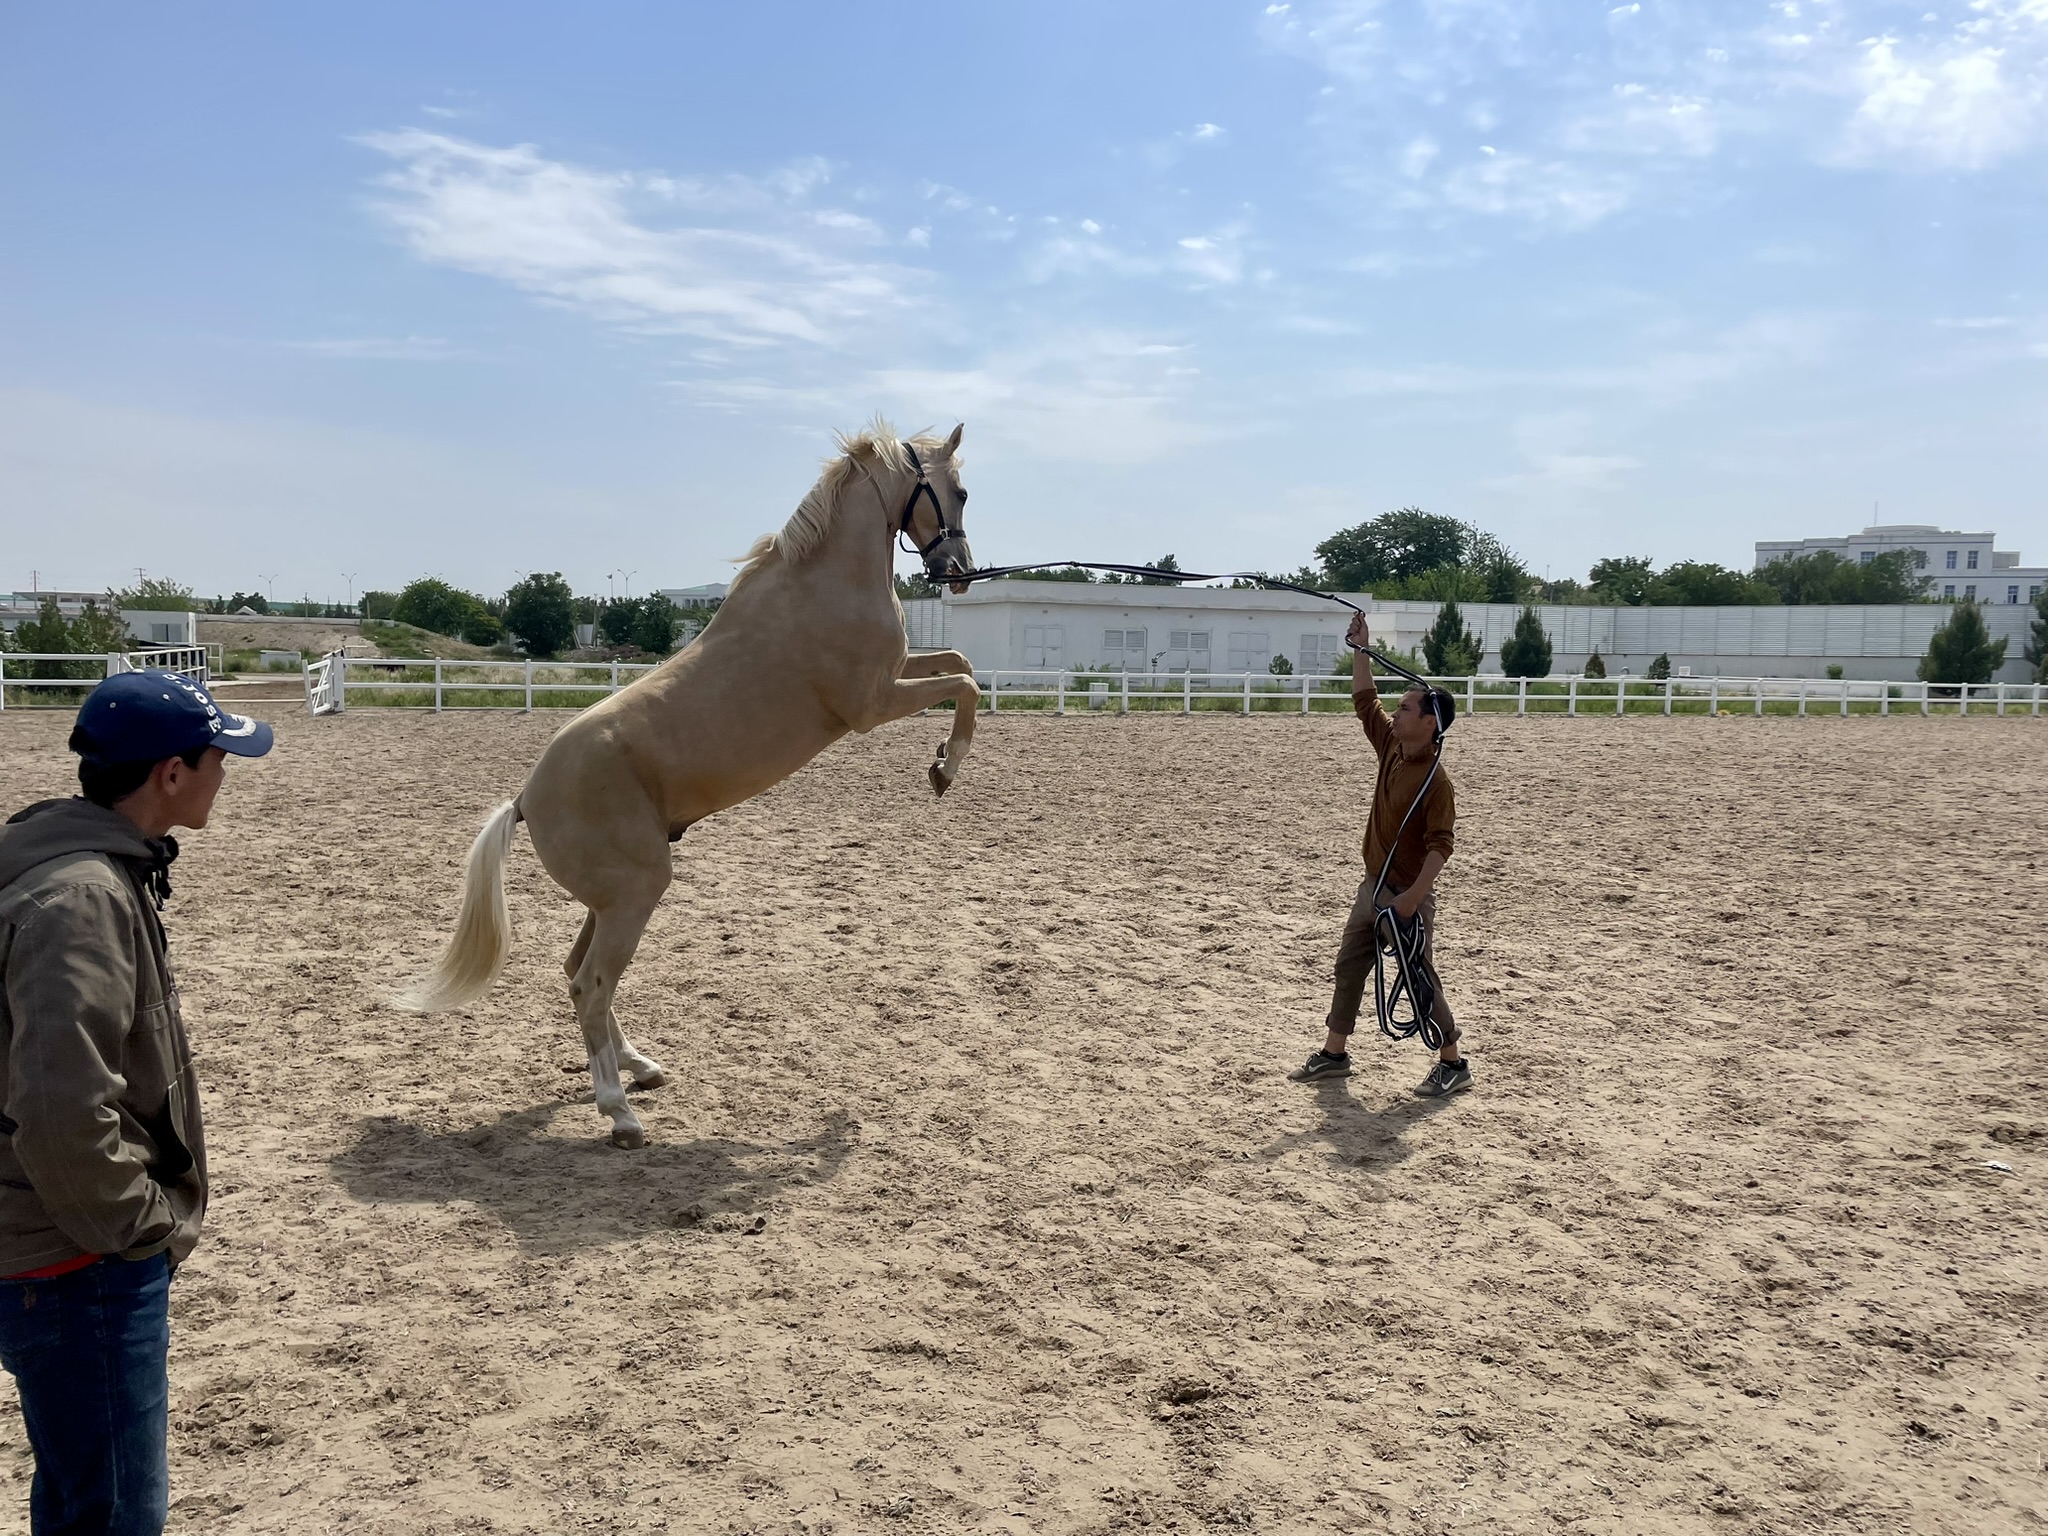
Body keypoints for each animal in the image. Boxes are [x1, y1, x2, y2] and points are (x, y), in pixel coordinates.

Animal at [395, 420, 982, 1147]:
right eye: (960, 491)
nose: (958, 571)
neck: (821, 585)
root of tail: (526, 798)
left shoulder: (898, 675)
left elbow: (960, 662)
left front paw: (941, 761)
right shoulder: (872, 703)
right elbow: (966, 682)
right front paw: (946, 767)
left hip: (610, 900)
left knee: (577, 974)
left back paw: (641, 1067)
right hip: (635, 893)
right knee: (591, 984)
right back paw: (620, 1113)